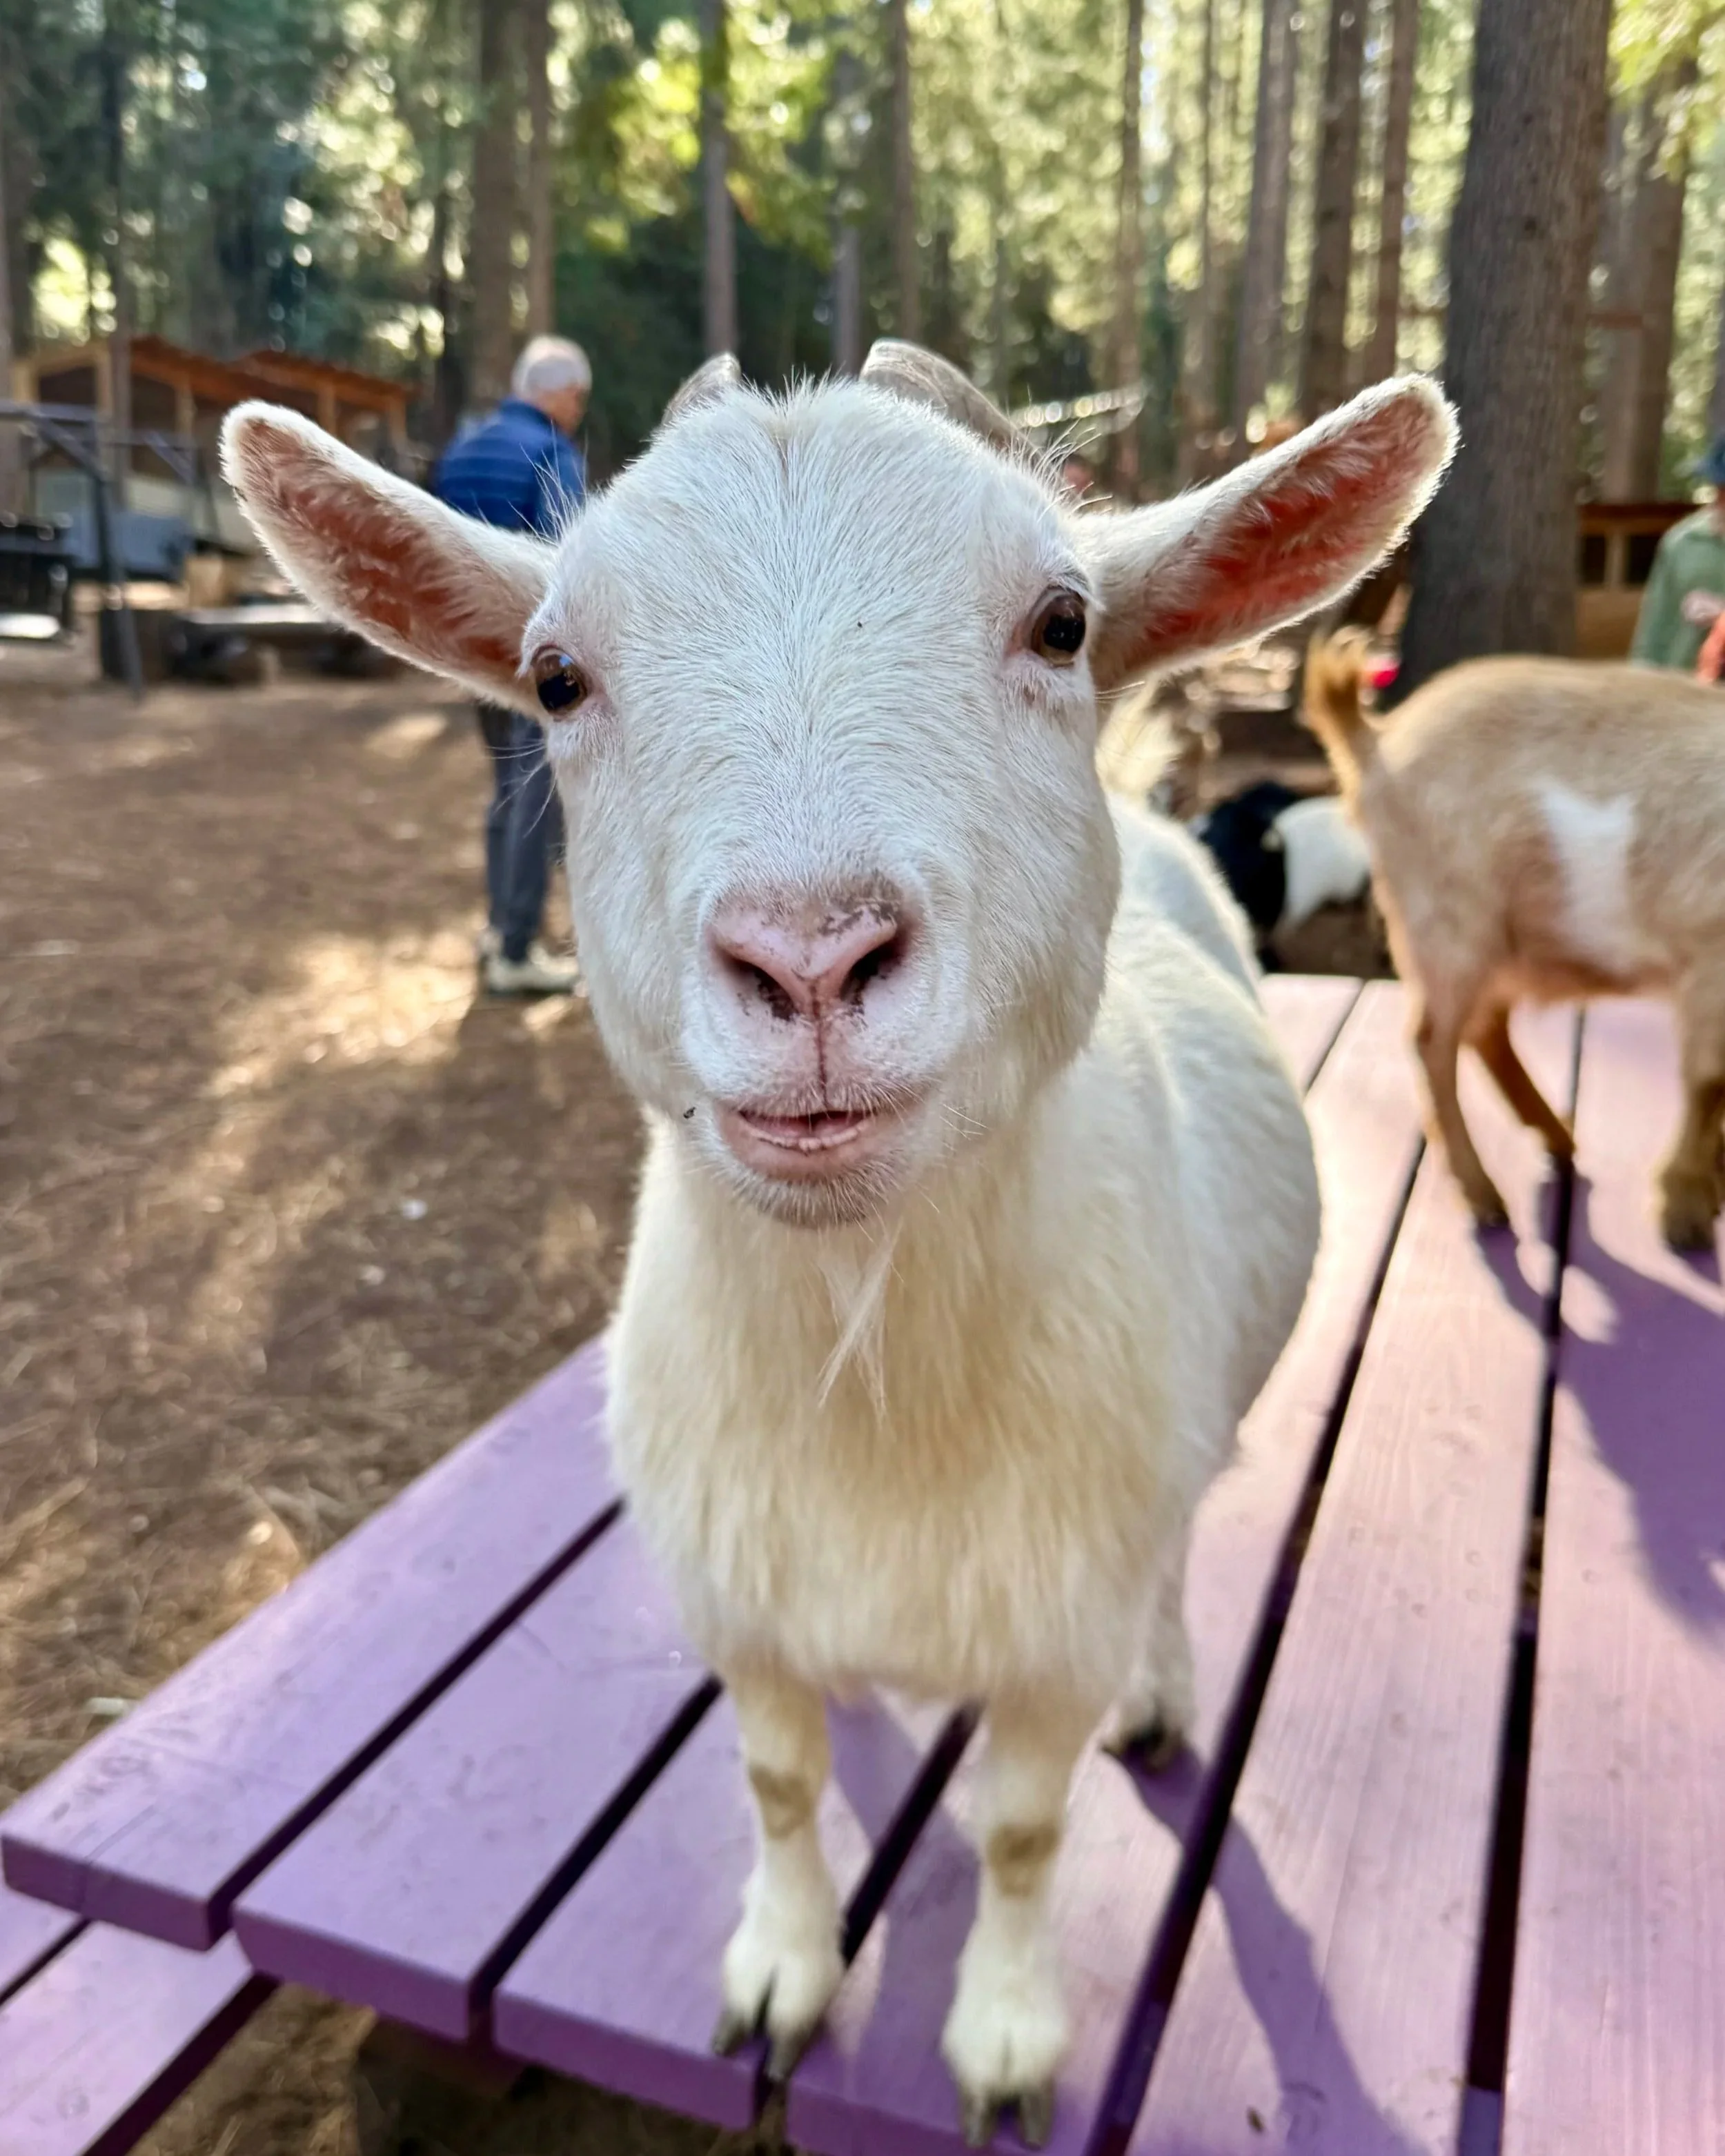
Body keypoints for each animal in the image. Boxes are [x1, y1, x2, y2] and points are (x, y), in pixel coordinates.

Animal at [219, 348, 1454, 2145]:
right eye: (558, 673)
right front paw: (779, 1971)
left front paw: (1005, 2037)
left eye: (1062, 622)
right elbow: (781, 1772)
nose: (807, 957)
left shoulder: (1055, 1615)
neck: (871, 1380)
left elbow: (1021, 1826)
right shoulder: (732, 1594)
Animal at [1306, 631, 1725, 1249]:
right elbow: (1707, 1083)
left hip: (1500, 948)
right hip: (1447, 925)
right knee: (1431, 1040)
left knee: (1485, 1032)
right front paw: (1687, 1222)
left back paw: (1560, 1141)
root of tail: (1376, 740)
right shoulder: (1708, 958)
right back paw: (1488, 1202)